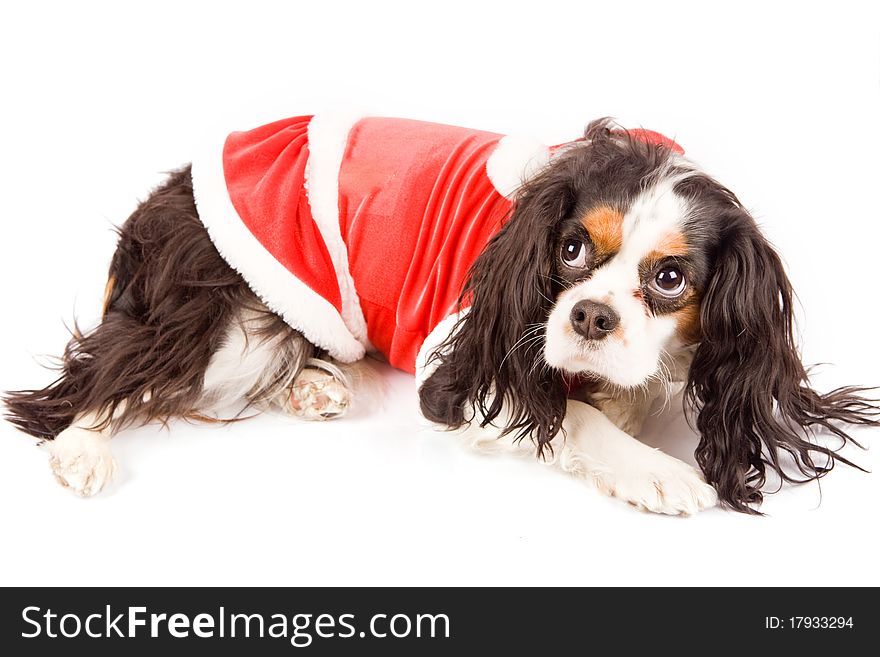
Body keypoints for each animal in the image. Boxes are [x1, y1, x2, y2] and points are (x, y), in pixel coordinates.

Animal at [3, 114, 876, 512]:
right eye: (569, 250)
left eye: (669, 277)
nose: (591, 316)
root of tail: (163, 195)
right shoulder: (463, 368)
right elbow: (569, 415)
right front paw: (657, 470)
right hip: (217, 323)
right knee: (114, 374)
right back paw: (81, 445)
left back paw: (318, 381)